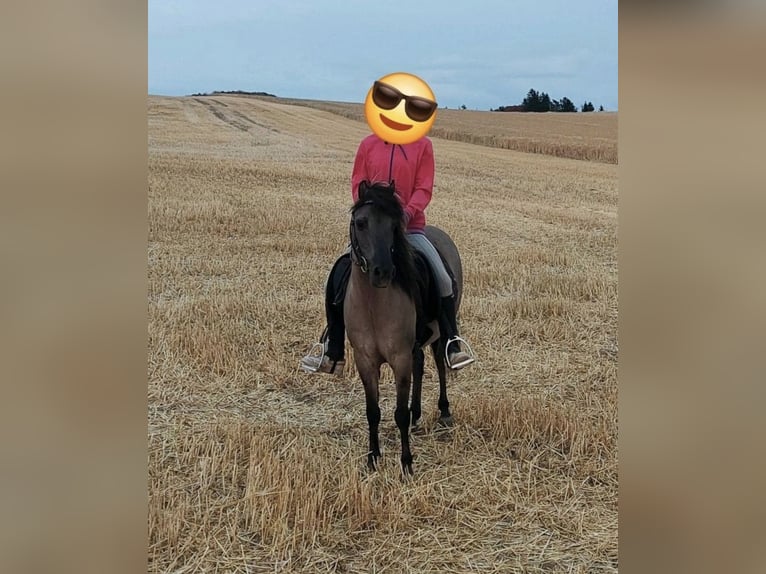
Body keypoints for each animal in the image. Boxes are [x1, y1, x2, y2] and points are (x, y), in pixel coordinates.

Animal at [345, 180, 465, 475]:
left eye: (393, 225)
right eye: (361, 223)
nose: (382, 272)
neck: (374, 304)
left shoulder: (399, 359)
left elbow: (398, 413)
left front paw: (406, 463)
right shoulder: (365, 360)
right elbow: (372, 411)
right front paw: (372, 458)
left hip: (439, 334)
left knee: (440, 364)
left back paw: (444, 411)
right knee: (420, 364)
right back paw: (416, 413)